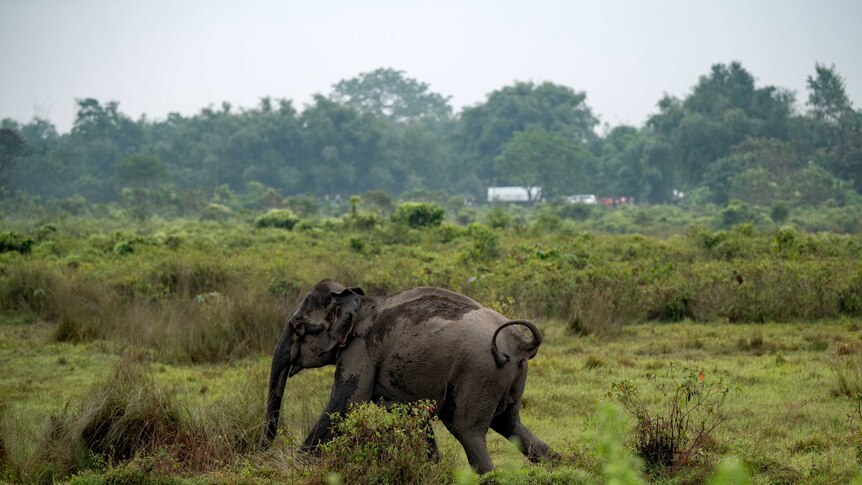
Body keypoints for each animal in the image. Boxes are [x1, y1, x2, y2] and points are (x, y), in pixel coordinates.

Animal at [262, 278, 552, 470]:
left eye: (298, 327)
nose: (262, 454)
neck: (359, 301)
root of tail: (522, 344)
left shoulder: (362, 350)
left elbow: (344, 405)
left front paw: (291, 468)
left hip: (479, 373)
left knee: (466, 430)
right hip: (505, 377)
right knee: (510, 425)